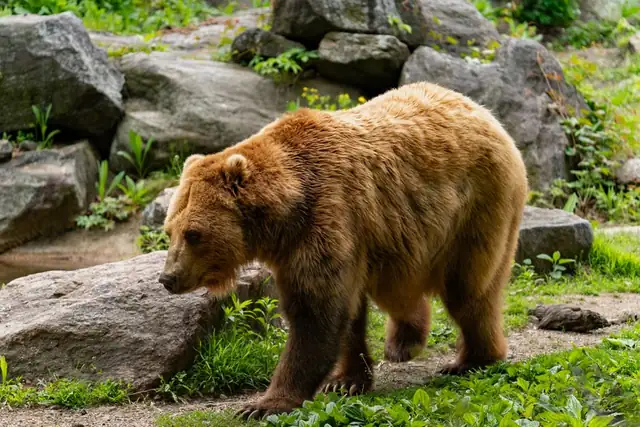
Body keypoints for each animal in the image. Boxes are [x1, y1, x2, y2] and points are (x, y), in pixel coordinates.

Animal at [159, 81, 529, 419]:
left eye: (194, 234)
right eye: (170, 230)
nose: (168, 278)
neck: (284, 216)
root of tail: (483, 111)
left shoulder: (327, 216)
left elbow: (316, 314)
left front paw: (263, 404)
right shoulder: (306, 247)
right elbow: (344, 312)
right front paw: (345, 381)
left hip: (474, 209)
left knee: (468, 289)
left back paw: (472, 358)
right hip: (398, 237)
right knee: (399, 290)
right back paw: (403, 342)